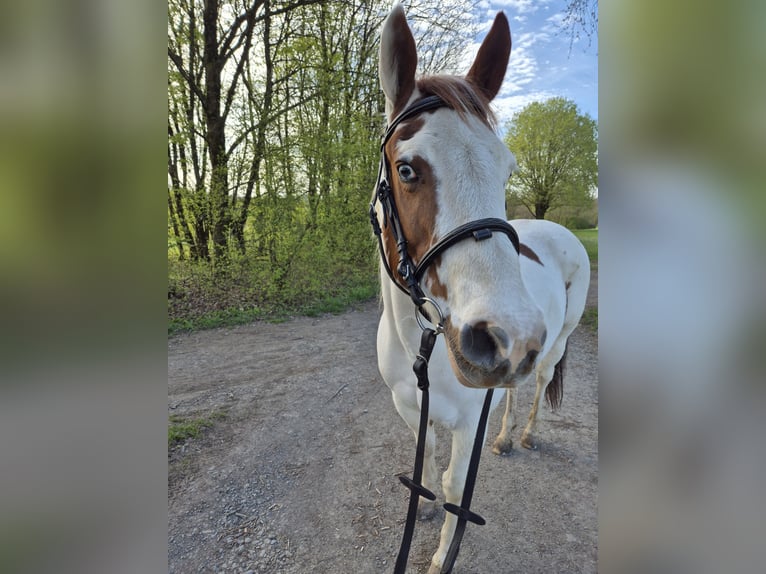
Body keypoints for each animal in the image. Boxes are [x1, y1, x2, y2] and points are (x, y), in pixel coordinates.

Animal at [371, 5, 590, 573]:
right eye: (407, 169)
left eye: (507, 169)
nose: (505, 338)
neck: (423, 346)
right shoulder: (409, 405)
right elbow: (425, 462)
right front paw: (424, 508)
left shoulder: (469, 419)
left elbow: (454, 486)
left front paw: (440, 554)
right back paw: (507, 437)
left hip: (554, 345)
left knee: (538, 383)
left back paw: (526, 435)